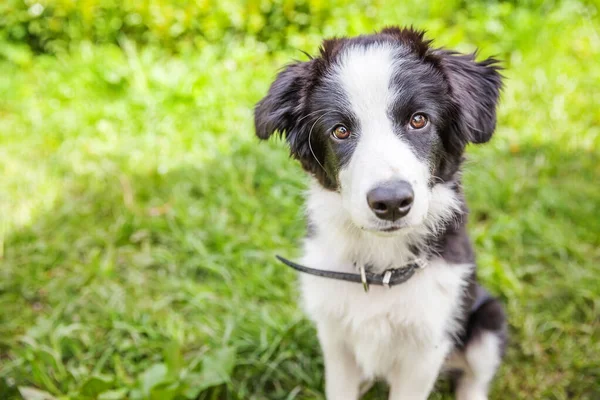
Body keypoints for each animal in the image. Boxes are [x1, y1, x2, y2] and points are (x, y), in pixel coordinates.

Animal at [253, 28, 506, 400]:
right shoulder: (334, 337)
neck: (380, 269)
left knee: (474, 378)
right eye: (340, 130)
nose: (391, 202)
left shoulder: (427, 347)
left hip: (489, 318)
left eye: (419, 120)